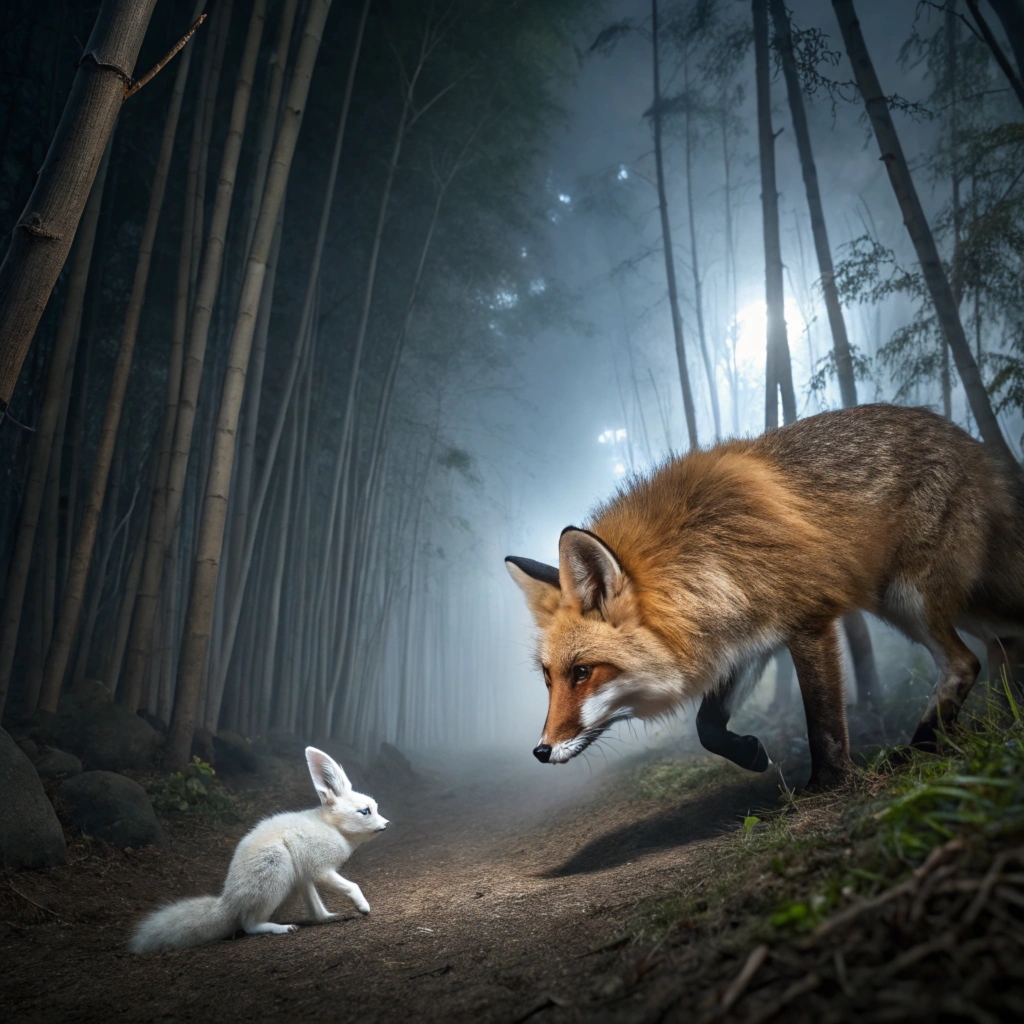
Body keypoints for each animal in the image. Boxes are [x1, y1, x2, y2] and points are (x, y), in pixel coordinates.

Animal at [129, 747, 388, 953]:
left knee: (315, 912)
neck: (333, 828)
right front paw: (364, 907)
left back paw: (330, 917)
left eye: (375, 807)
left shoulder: (308, 874)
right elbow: (352, 885)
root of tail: (228, 902)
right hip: (277, 867)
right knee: (249, 925)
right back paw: (282, 928)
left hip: (295, 877)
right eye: (365, 811)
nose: (386, 824)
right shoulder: (321, 871)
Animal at [506, 404, 1024, 791]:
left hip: (909, 600)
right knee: (998, 646)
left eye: (582, 673)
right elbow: (708, 727)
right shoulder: (742, 641)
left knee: (964, 663)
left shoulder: (807, 620)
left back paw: (918, 749)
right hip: (930, 605)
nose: (540, 751)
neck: (703, 556)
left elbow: (824, 723)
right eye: (548, 677)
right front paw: (750, 754)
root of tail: (973, 444)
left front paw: (827, 785)